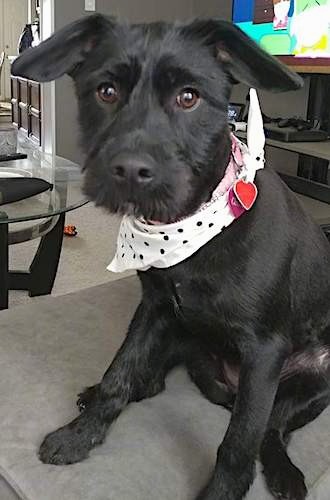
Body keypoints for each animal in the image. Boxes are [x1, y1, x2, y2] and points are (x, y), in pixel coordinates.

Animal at [12, 14, 330, 500]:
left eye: (188, 97)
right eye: (106, 91)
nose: (129, 171)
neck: (190, 228)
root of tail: (225, 386)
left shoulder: (264, 353)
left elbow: (241, 439)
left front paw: (222, 491)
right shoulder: (154, 307)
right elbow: (118, 375)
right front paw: (78, 436)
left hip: (314, 379)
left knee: (272, 429)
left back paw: (284, 472)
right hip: (180, 330)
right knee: (153, 379)